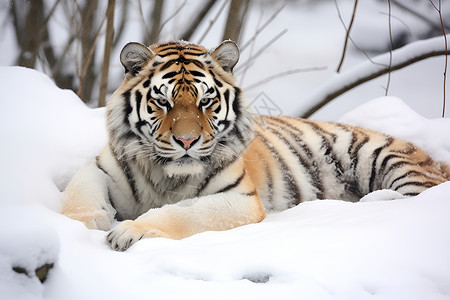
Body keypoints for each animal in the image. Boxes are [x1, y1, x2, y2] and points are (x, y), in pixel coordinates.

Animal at [60, 39, 450, 251]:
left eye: (205, 102)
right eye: (163, 102)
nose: (187, 140)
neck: (166, 177)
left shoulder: (240, 200)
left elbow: (184, 213)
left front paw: (128, 231)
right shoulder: (99, 167)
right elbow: (78, 198)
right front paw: (80, 228)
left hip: (383, 156)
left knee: (414, 198)